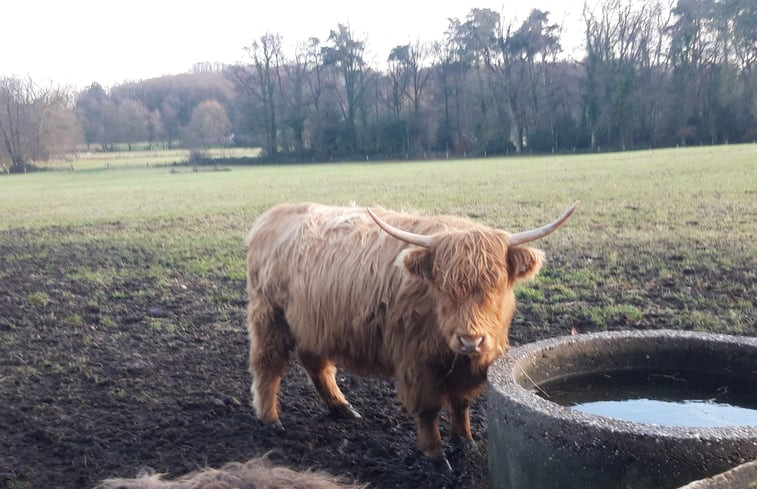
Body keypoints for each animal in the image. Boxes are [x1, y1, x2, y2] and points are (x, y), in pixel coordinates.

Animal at [245, 201, 576, 466]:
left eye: (495, 286)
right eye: (444, 288)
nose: (470, 339)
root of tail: (272, 215)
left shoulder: (467, 366)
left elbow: (461, 403)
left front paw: (465, 441)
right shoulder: (418, 362)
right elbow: (428, 410)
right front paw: (436, 454)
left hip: (314, 324)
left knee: (315, 363)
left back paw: (343, 407)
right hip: (270, 316)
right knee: (268, 365)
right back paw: (271, 419)